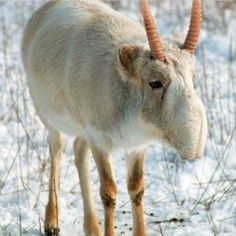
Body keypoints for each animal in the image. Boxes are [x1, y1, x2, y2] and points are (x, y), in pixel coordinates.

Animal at [21, 0, 206, 236]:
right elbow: (108, 193)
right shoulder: (99, 141)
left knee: (79, 151)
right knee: (57, 148)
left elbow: (137, 188)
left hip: (83, 130)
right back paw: (52, 221)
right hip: (47, 115)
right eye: (155, 82)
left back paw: (92, 226)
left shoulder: (136, 145)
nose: (195, 144)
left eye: (193, 77)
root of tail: (45, 9)